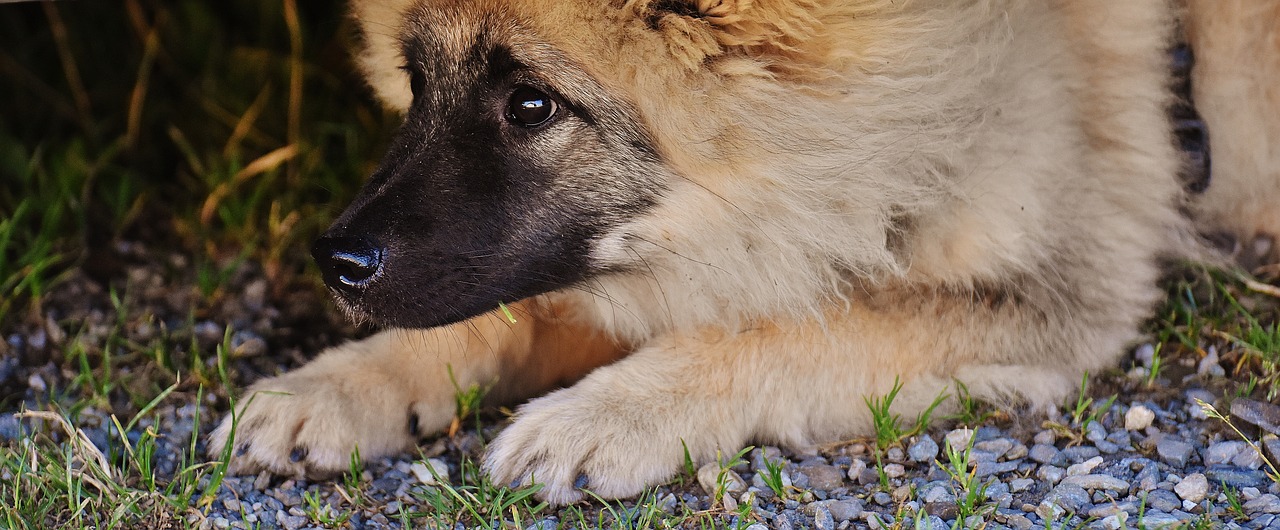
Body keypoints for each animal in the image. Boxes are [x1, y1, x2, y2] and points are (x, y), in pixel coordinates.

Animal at [212, 0, 1280, 504]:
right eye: (417, 81)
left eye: (533, 105)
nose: (337, 262)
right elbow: (514, 309)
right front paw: (336, 387)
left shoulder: (1052, 290)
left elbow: (793, 328)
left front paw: (606, 417)